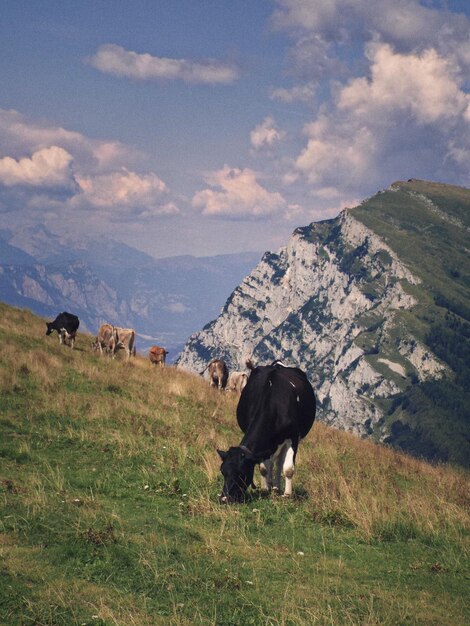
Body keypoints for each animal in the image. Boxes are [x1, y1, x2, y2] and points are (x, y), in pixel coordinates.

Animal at [219, 360, 316, 502]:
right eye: (222, 471)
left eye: (242, 473)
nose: (224, 499)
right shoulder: (263, 443)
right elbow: (264, 467)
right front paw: (265, 489)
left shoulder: (292, 437)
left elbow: (288, 469)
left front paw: (287, 494)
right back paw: (272, 486)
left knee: (280, 463)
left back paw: (277, 487)